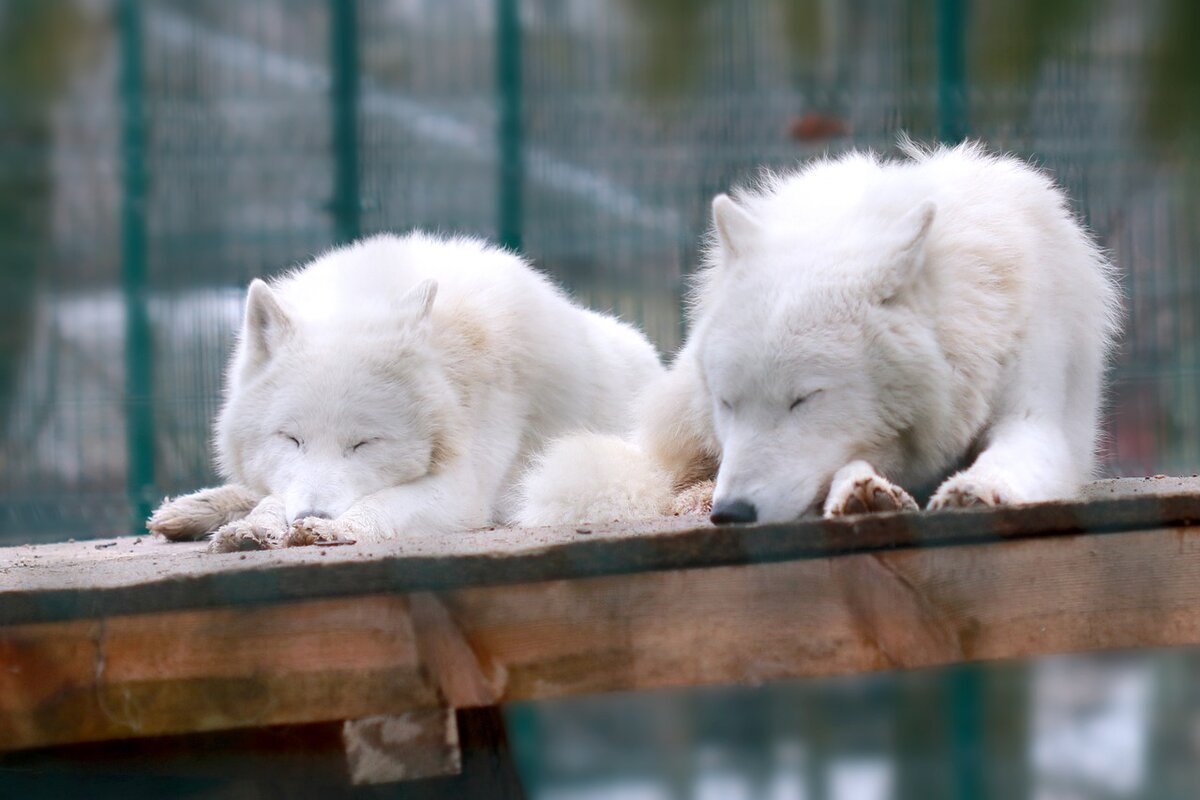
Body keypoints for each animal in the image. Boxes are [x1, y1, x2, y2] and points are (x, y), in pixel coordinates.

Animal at [150, 232, 662, 551]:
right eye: (292, 440)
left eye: (364, 444)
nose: (311, 513)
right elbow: (272, 497)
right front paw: (253, 527)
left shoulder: (465, 489)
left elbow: (383, 502)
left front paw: (332, 528)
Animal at [520, 140, 1118, 527]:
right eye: (730, 403)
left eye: (803, 400)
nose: (732, 513)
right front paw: (863, 492)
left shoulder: (1041, 420)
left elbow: (1008, 460)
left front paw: (972, 489)